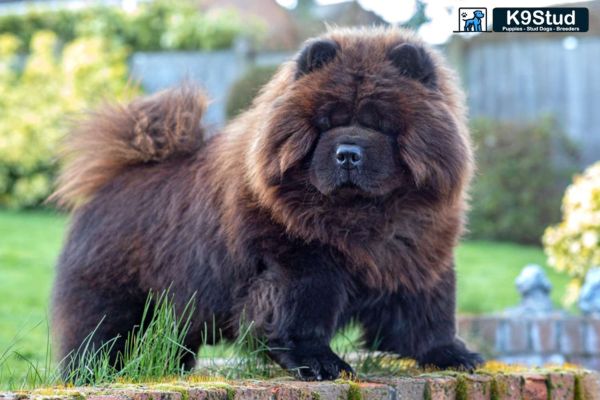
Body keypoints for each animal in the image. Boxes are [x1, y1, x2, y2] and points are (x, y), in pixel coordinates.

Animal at [51, 27, 482, 378]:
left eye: (379, 124)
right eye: (326, 124)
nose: (347, 153)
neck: (360, 219)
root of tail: (114, 178)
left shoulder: (418, 260)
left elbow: (428, 315)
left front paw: (452, 354)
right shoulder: (300, 265)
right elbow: (298, 317)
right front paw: (319, 363)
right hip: (112, 300)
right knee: (98, 340)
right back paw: (93, 375)